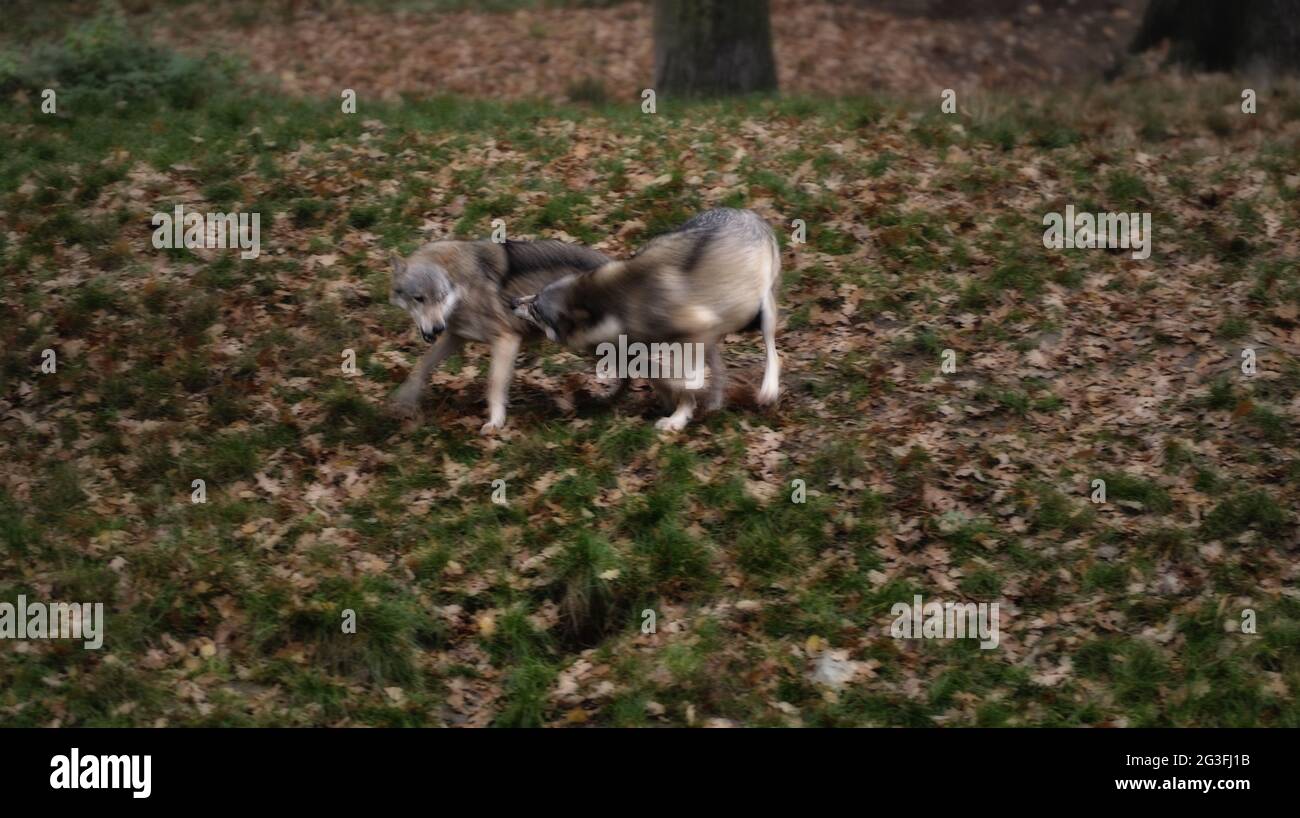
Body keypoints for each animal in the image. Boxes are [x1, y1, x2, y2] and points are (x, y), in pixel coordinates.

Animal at [388, 238, 611, 433]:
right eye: (419, 298)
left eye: (441, 297)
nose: (437, 328)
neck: (464, 287)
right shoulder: (455, 336)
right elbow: (421, 367)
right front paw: (403, 400)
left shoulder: (506, 339)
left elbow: (494, 384)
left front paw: (495, 422)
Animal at [512, 208, 781, 431]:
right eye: (534, 297)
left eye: (535, 309)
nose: (513, 302)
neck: (616, 308)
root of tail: (748, 213)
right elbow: (657, 376)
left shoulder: (696, 333)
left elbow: (684, 382)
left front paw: (677, 416)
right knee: (720, 368)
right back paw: (714, 403)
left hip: (762, 311)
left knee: (772, 351)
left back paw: (768, 390)